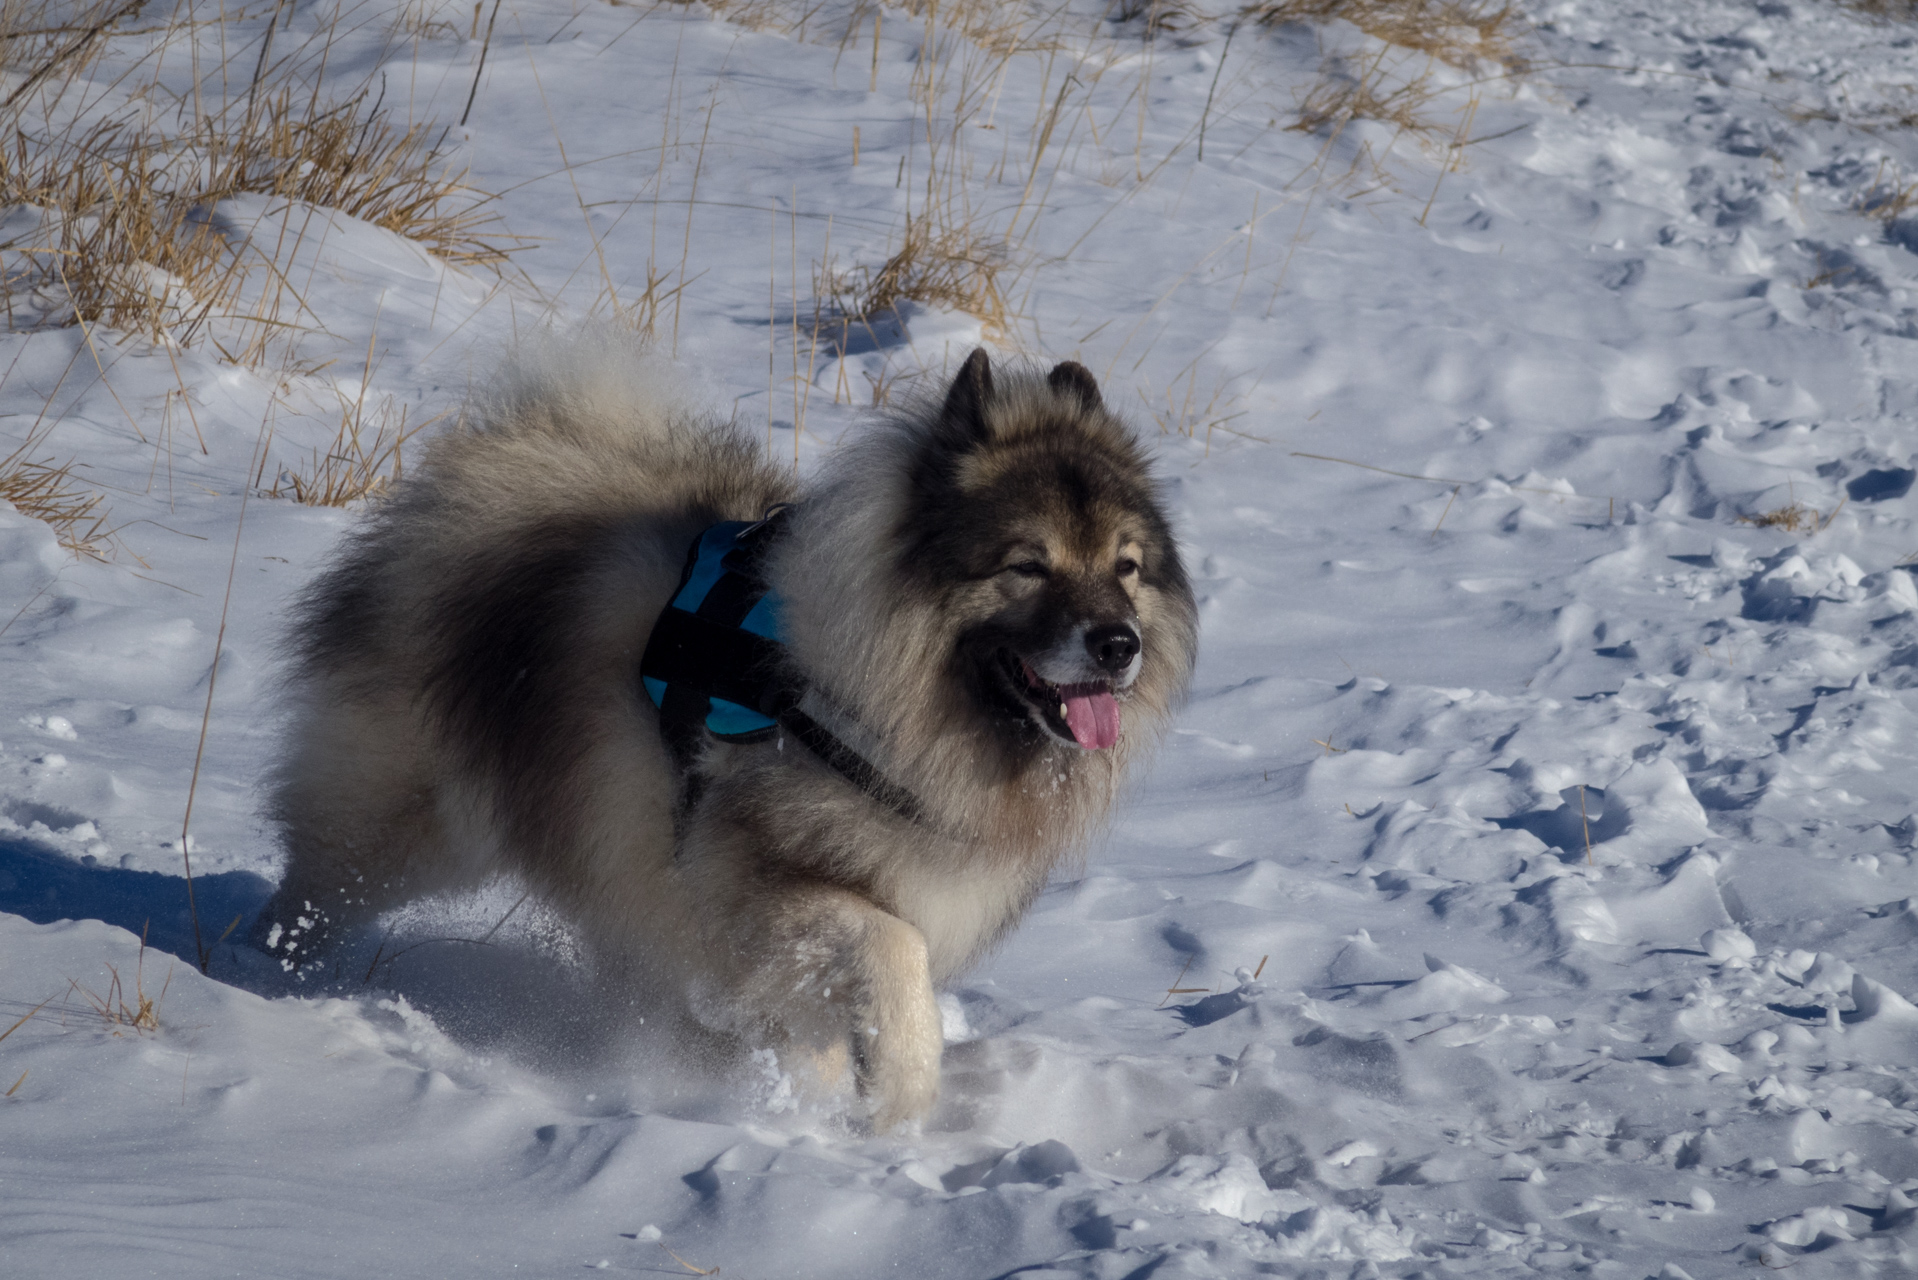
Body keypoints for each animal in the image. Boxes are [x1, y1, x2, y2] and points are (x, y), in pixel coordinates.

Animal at [258, 339, 1196, 1128]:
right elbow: (896, 950)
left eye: (1125, 568)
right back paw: (273, 980)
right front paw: (899, 1096)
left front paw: (814, 1110)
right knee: (317, 887)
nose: (1119, 646)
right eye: (1027, 566)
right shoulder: (749, 883)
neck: (872, 700)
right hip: (406, 818)